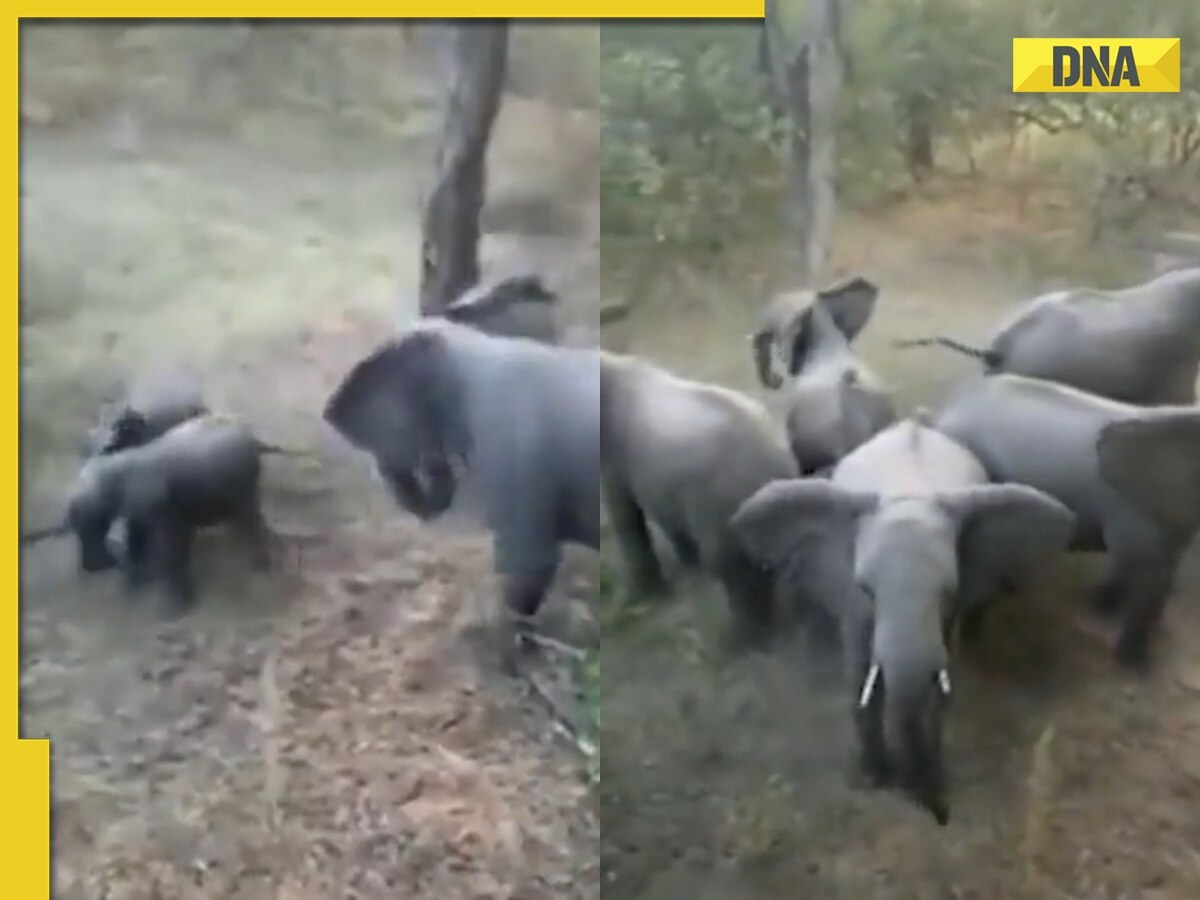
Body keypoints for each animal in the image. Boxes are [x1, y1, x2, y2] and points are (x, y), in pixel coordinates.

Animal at [21, 415, 295, 614]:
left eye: (86, 523)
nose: (93, 568)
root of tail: (253, 438)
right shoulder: (138, 512)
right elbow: (138, 542)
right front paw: (134, 589)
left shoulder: (161, 509)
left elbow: (169, 548)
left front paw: (174, 608)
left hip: (243, 487)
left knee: (250, 520)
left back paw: (260, 565)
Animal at [597, 352, 796, 643]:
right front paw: (689, 564)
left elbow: (625, 513)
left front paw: (649, 596)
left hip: (722, 504)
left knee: (730, 568)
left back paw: (739, 639)